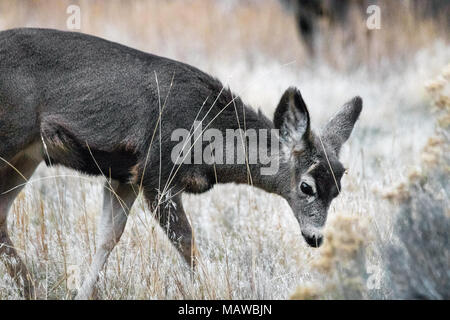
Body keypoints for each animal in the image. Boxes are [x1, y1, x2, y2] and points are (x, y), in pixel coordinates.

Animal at [0, 28, 360, 298]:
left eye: (338, 190)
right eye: (306, 186)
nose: (316, 238)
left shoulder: (126, 176)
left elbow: (108, 237)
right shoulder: (156, 173)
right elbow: (187, 244)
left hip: (27, 155)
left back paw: (30, 289)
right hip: (11, 139)